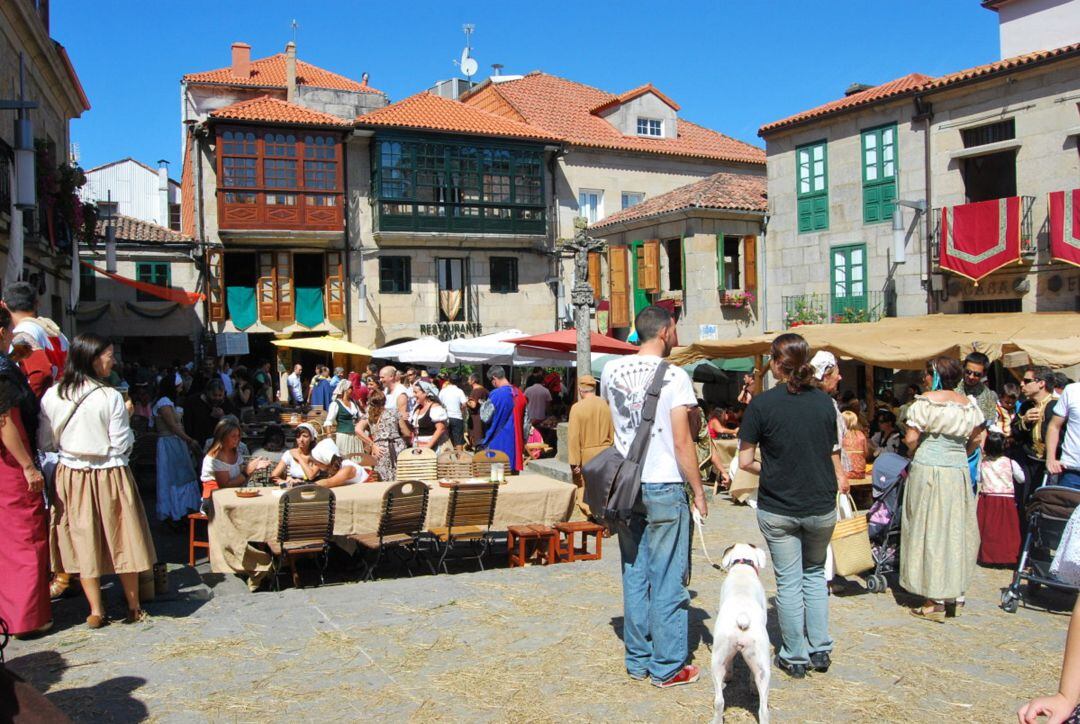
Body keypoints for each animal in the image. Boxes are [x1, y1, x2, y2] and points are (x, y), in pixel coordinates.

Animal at [712, 544, 773, 724]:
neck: (743, 567)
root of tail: (742, 617)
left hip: (717, 662)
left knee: (719, 701)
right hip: (762, 668)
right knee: (763, 709)